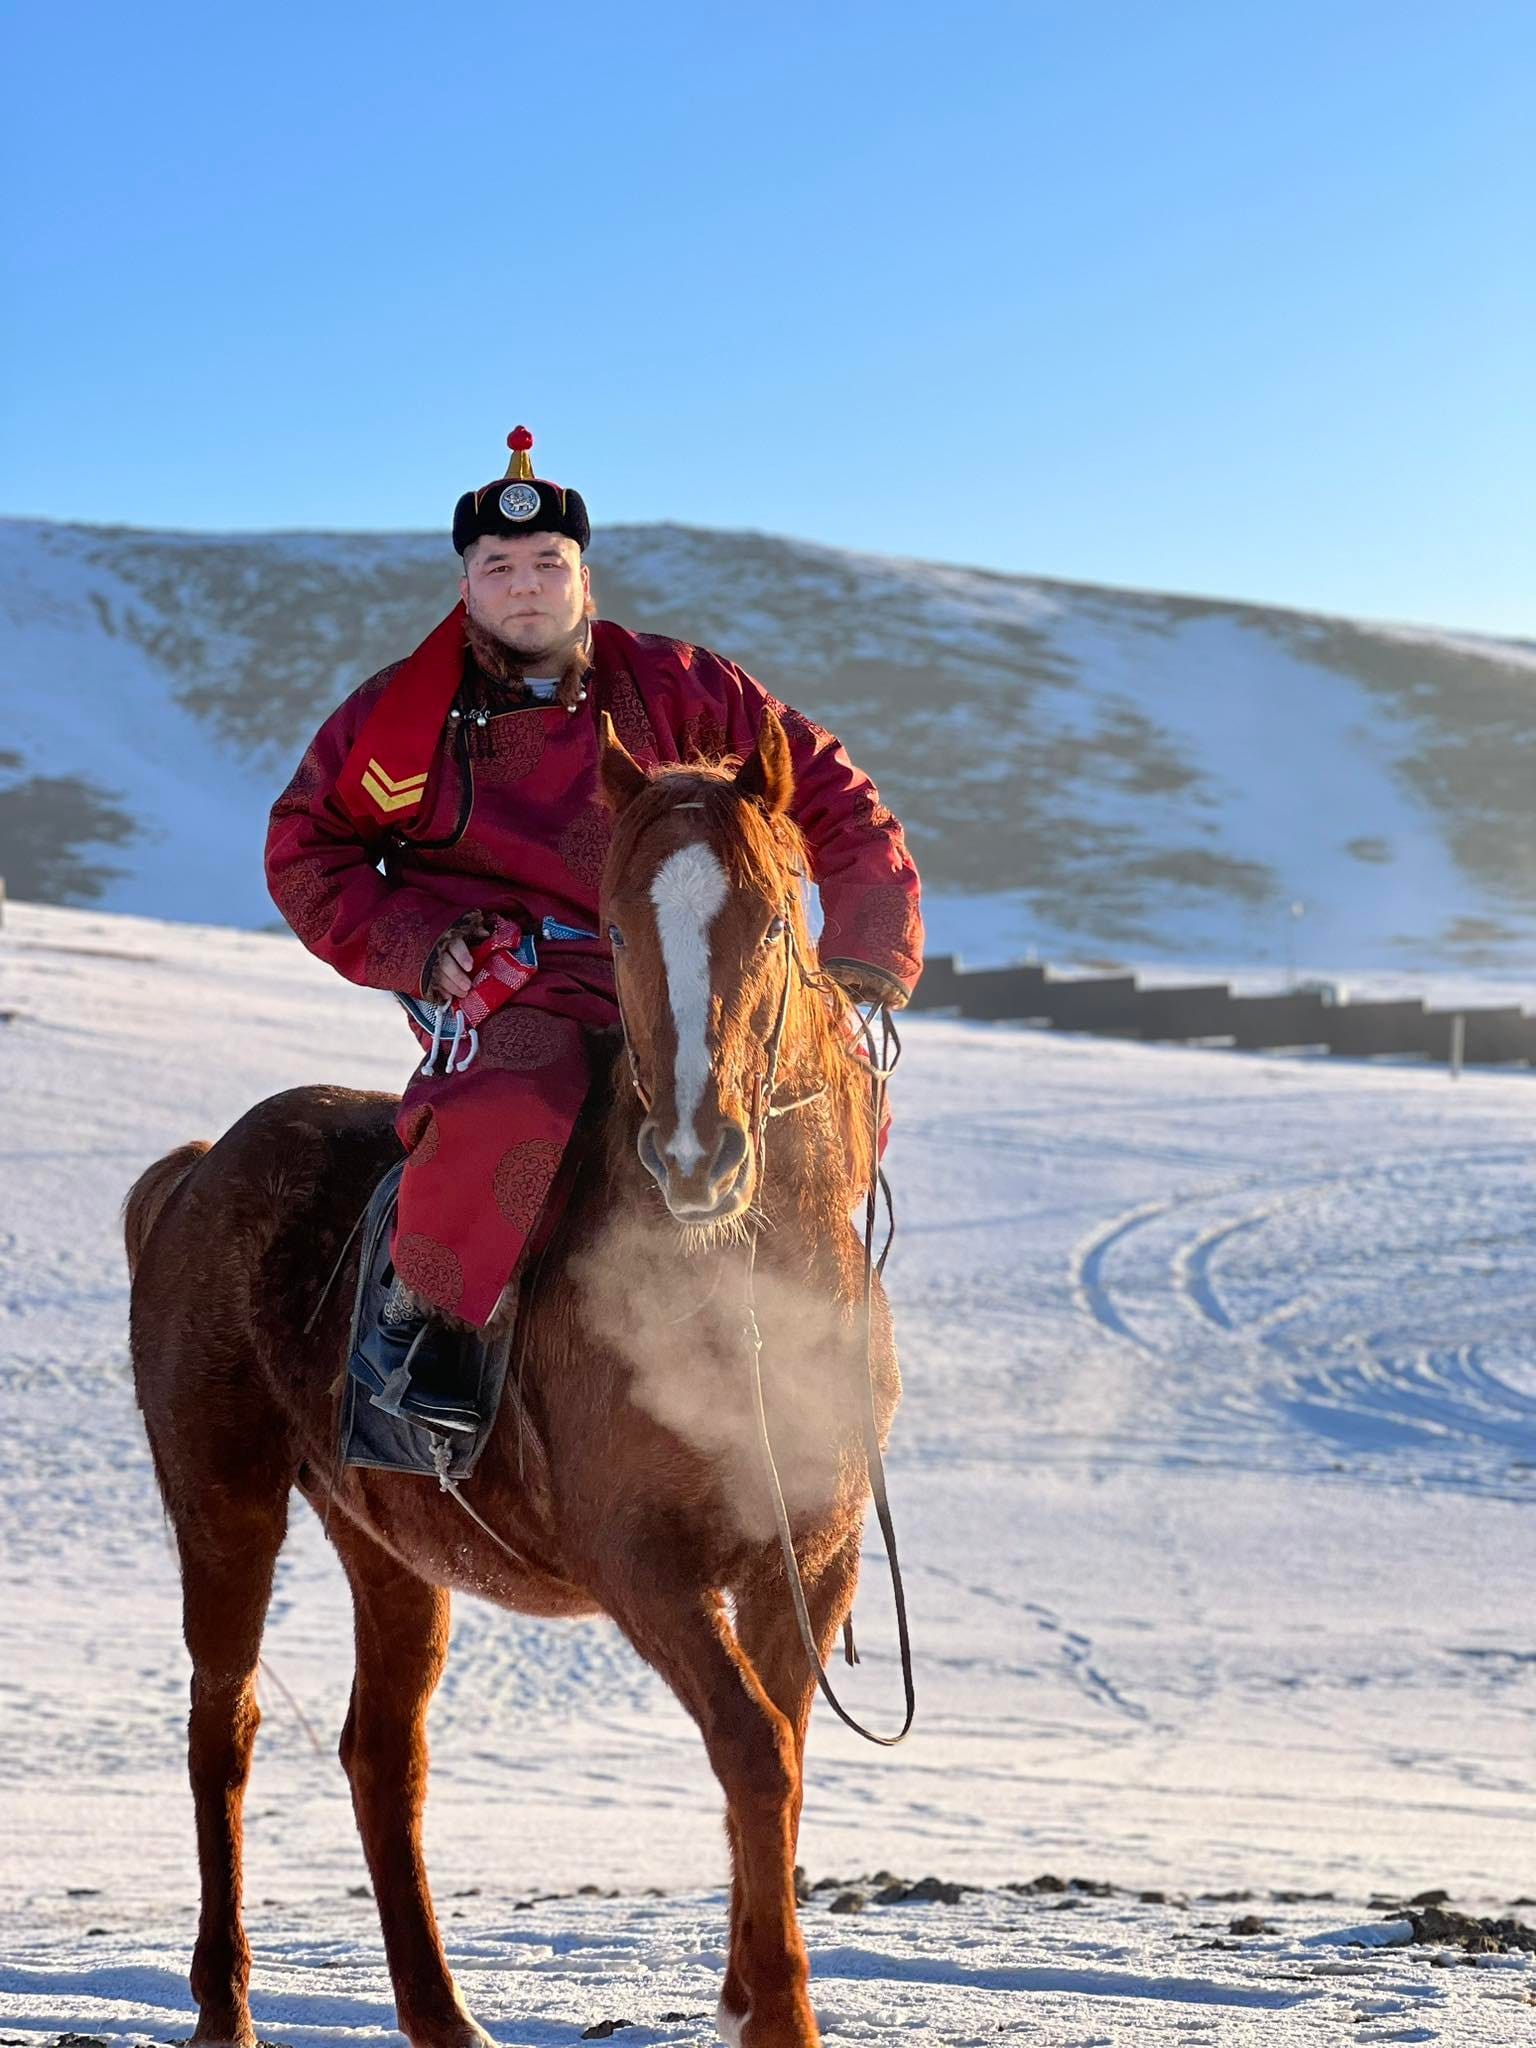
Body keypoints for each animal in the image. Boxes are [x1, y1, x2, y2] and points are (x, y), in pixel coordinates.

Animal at [132, 708, 909, 2048]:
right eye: (616, 921)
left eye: (771, 918)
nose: (695, 1156)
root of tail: (196, 1170)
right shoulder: (645, 1562)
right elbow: (753, 1746)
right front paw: (776, 2010)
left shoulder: (807, 1558)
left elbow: (787, 1753)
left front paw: (743, 1992)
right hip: (224, 1504)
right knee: (221, 1729)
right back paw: (226, 2005)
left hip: (387, 1544)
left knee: (382, 1755)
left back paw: (443, 2013)